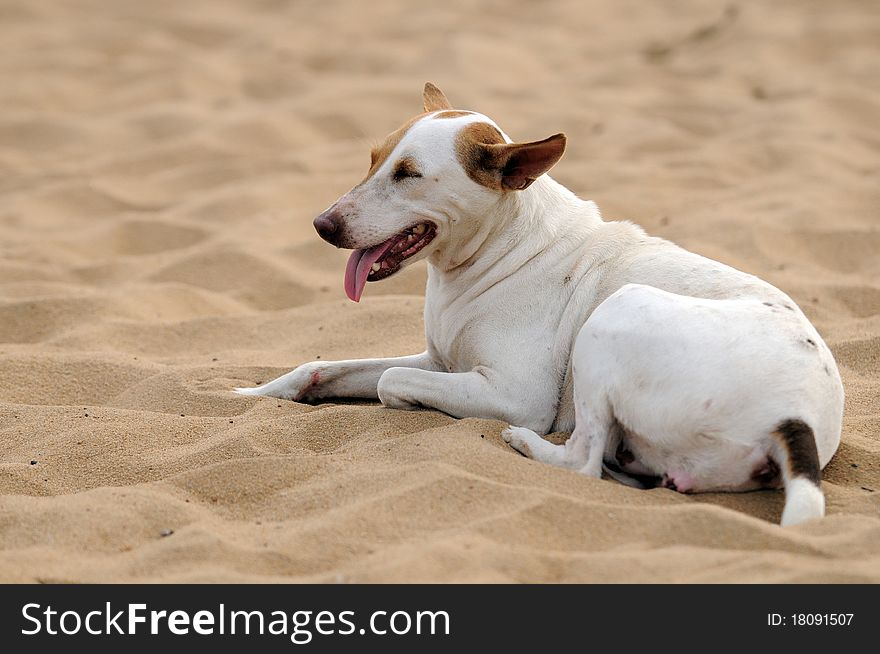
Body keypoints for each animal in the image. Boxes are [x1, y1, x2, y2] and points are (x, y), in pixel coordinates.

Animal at [237, 84, 844, 532]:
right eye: (372, 160)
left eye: (408, 174)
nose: (321, 226)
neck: (494, 248)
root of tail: (797, 416)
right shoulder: (438, 360)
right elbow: (323, 367)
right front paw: (254, 394)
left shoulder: (512, 393)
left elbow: (389, 383)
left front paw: (410, 405)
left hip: (615, 315)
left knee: (583, 461)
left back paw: (527, 444)